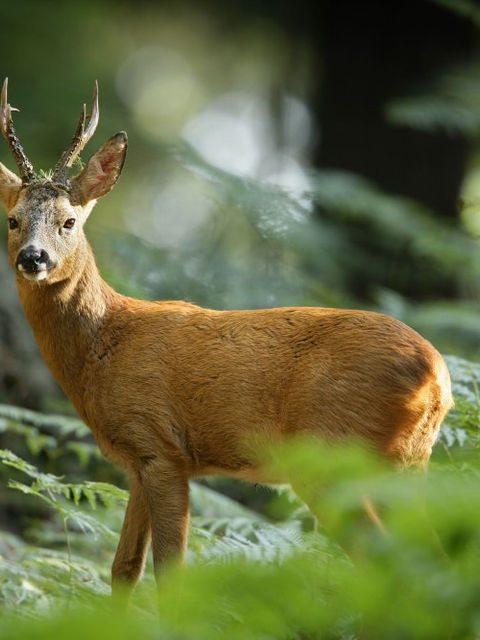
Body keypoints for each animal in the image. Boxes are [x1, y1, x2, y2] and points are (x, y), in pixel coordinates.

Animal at [0, 79, 453, 597]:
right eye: (13, 219)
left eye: (69, 221)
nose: (33, 258)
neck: (105, 344)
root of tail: (439, 377)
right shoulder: (138, 461)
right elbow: (124, 569)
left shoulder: (161, 446)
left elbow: (170, 573)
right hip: (408, 462)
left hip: (335, 454)